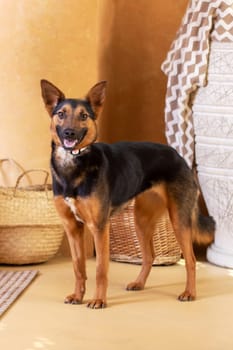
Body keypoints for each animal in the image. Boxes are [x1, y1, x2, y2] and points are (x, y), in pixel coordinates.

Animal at [40, 80, 215, 308]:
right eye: (61, 114)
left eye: (83, 116)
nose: (69, 133)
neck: (73, 164)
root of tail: (178, 155)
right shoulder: (72, 228)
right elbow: (78, 268)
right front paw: (78, 296)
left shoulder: (99, 227)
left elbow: (100, 269)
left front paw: (98, 300)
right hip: (141, 220)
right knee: (149, 256)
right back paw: (139, 283)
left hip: (179, 220)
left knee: (191, 260)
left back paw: (189, 293)